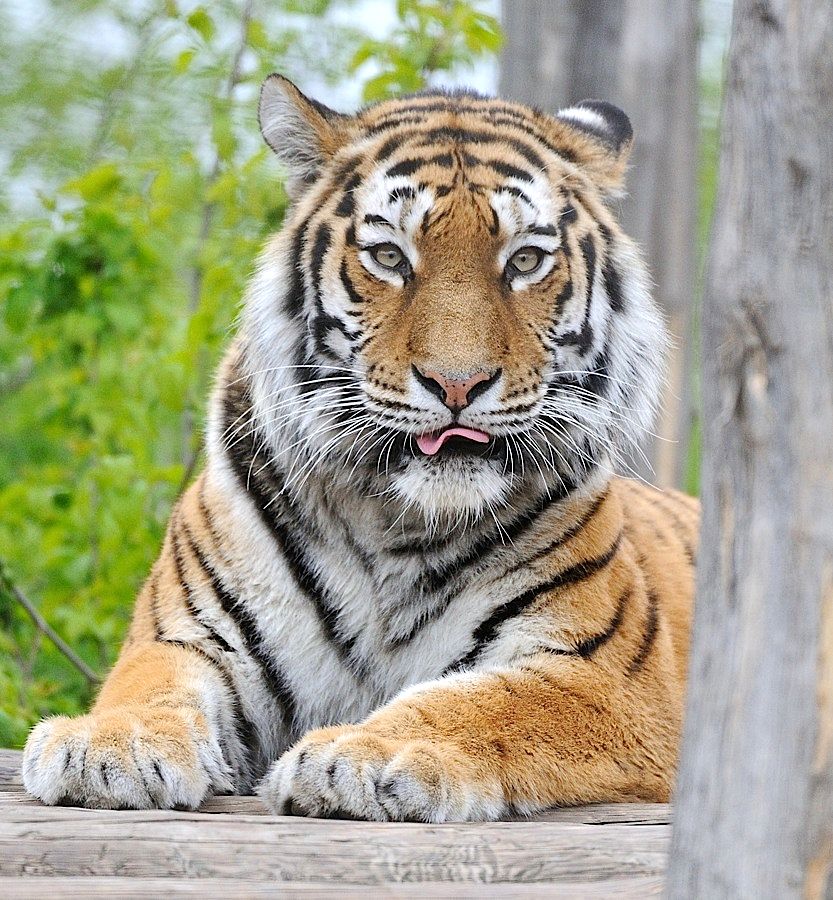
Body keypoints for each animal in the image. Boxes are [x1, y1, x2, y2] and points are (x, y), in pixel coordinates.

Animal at [21, 75, 698, 822]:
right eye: (389, 257)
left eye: (524, 261)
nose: (456, 384)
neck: (395, 523)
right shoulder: (192, 634)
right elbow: (151, 681)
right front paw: (106, 743)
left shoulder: (601, 673)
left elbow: (484, 701)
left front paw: (366, 754)